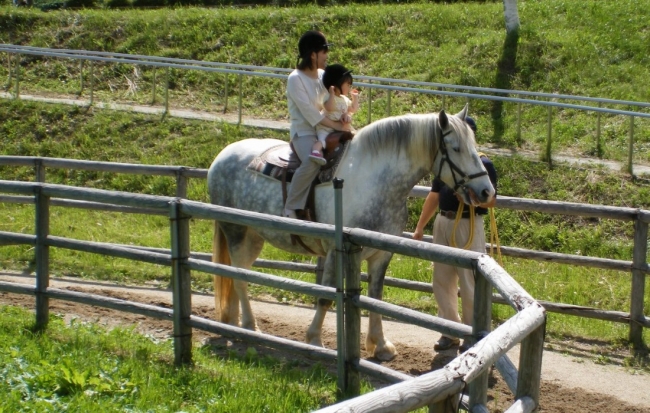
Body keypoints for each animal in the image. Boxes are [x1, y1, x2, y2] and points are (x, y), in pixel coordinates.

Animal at [206, 104, 492, 360]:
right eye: (455, 148)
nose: (486, 191)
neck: (372, 180)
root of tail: (222, 156)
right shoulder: (336, 251)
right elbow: (326, 296)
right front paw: (315, 340)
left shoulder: (380, 255)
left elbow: (375, 297)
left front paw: (380, 346)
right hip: (235, 231)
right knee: (239, 277)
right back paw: (250, 326)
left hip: (253, 237)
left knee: (236, 274)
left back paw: (233, 322)